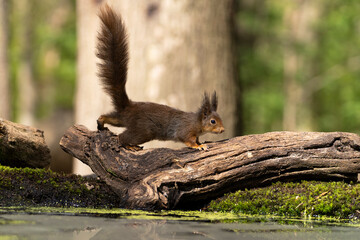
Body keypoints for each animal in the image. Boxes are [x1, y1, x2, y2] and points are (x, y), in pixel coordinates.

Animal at [95, 5, 225, 150]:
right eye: (213, 121)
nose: (223, 130)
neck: (196, 122)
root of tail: (129, 107)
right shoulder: (185, 130)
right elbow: (187, 139)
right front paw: (198, 146)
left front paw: (200, 142)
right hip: (142, 131)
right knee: (122, 136)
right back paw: (129, 145)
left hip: (124, 119)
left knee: (112, 118)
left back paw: (101, 121)